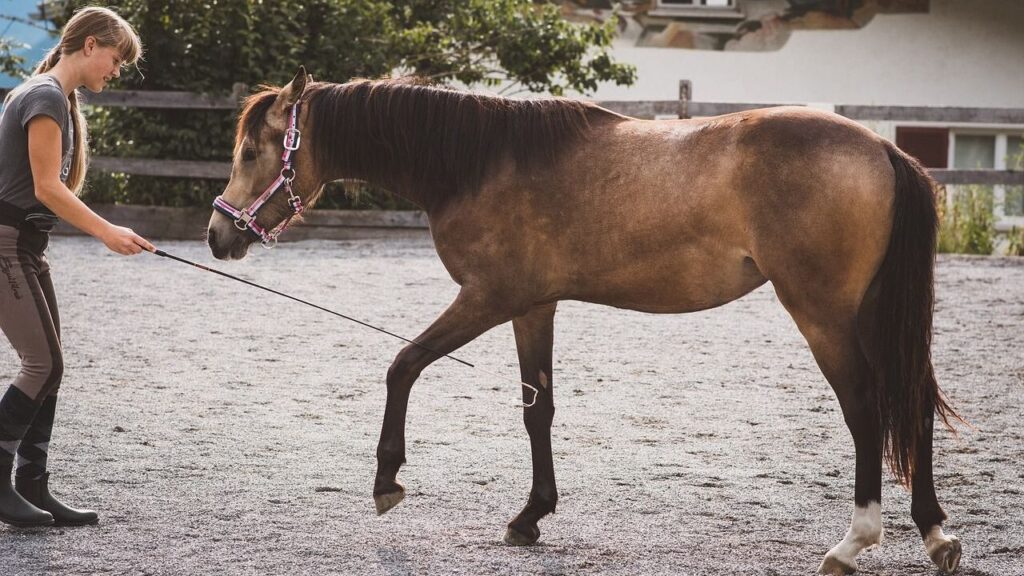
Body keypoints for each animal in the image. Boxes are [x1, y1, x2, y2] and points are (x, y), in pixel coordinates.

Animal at [206, 67, 964, 574]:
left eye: (250, 153)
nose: (219, 235)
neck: (479, 161)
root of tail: (883, 149)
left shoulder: (488, 297)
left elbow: (403, 365)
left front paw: (388, 480)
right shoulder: (532, 306)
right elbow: (536, 407)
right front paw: (531, 516)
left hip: (824, 314)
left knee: (867, 407)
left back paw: (853, 541)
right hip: (871, 315)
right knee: (912, 402)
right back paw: (936, 535)